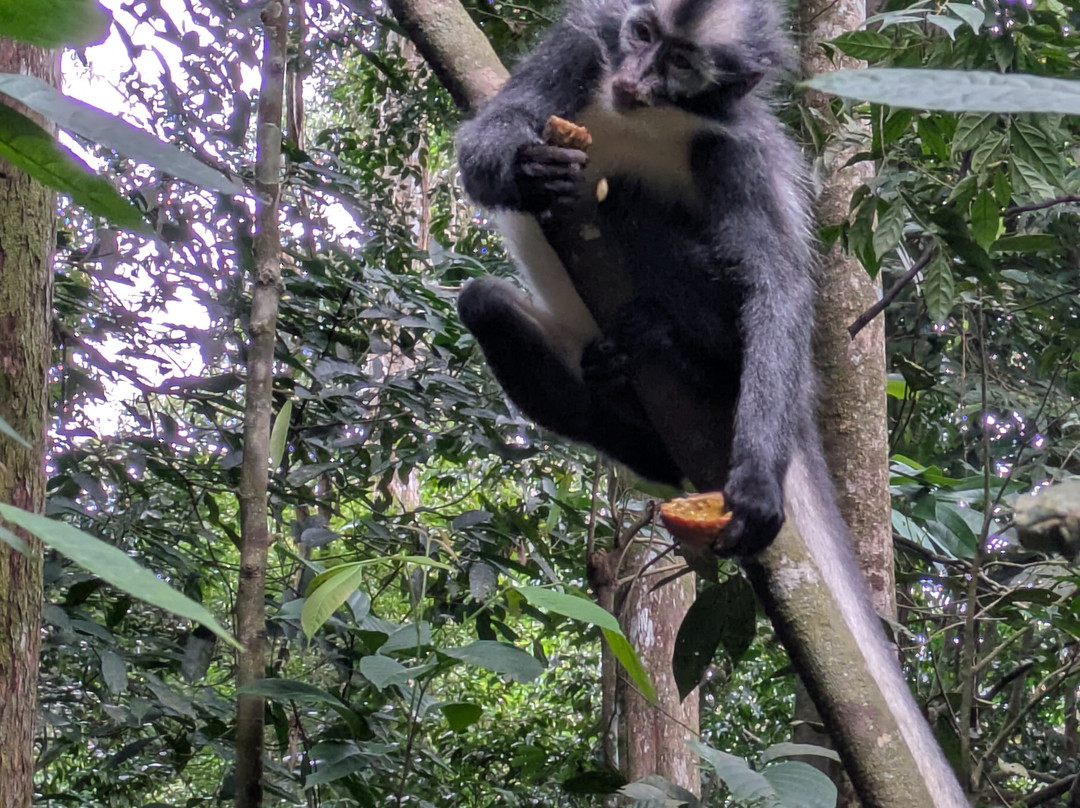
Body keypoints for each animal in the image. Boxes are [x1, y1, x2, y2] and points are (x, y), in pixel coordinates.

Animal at [454, 0, 816, 556]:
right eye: (642, 34)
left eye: (681, 62)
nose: (633, 78)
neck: (646, 118)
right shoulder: (579, 46)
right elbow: (486, 136)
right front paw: (527, 175)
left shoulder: (737, 147)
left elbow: (777, 282)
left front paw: (758, 482)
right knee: (485, 304)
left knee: (630, 198)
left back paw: (674, 345)